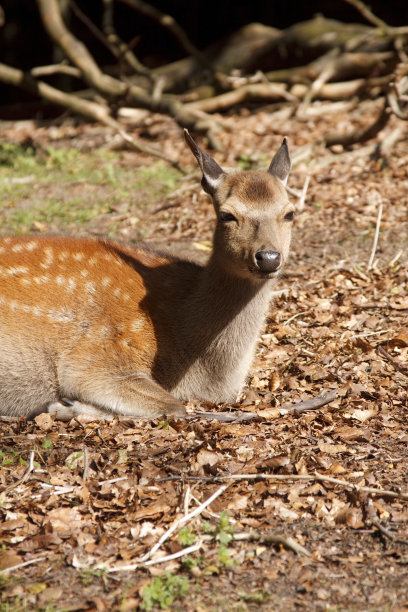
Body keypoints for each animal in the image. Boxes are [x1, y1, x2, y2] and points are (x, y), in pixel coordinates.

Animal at [0, 130, 294, 420]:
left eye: (290, 213)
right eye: (226, 215)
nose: (268, 257)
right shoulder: (96, 355)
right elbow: (174, 406)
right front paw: (63, 406)